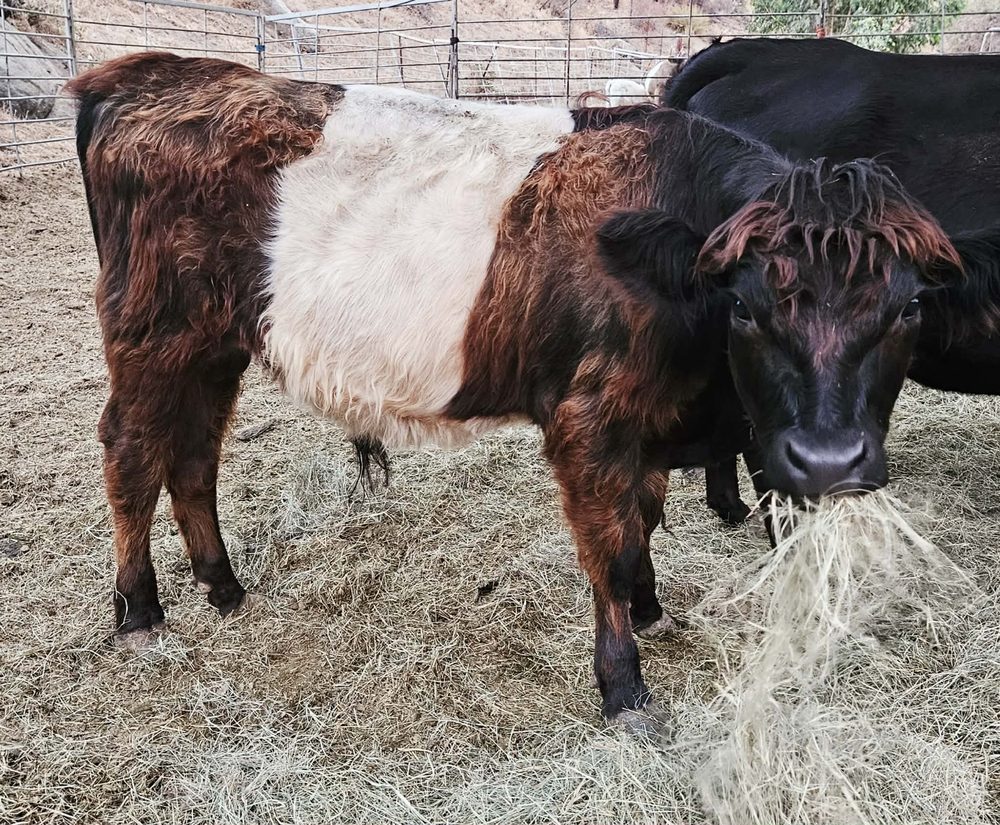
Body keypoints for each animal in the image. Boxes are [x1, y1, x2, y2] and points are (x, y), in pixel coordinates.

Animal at [67, 52, 965, 724]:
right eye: (745, 306)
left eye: (909, 307)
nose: (828, 460)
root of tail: (149, 76)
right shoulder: (588, 415)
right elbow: (609, 545)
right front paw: (624, 685)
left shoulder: (649, 421)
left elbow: (642, 518)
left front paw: (650, 606)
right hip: (150, 334)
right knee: (130, 452)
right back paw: (140, 611)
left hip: (212, 345)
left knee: (193, 456)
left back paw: (222, 585)